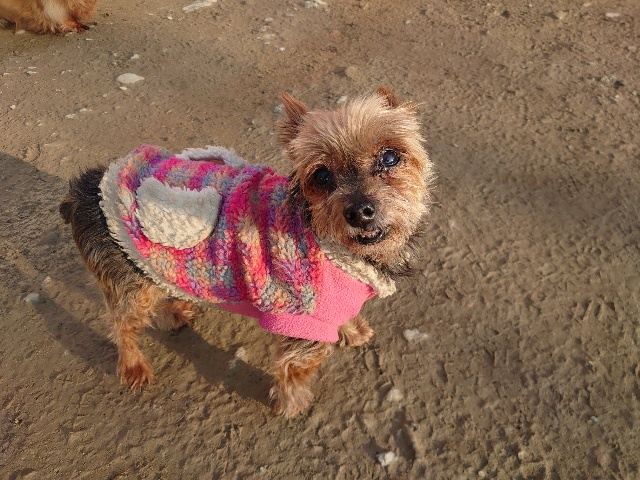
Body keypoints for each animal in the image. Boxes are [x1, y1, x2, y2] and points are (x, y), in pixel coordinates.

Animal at [59, 88, 434, 417]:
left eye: (390, 156)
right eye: (321, 176)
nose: (359, 211)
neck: (339, 247)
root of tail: (84, 188)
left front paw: (353, 329)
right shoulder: (302, 320)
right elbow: (296, 368)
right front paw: (292, 405)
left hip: (153, 262)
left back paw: (176, 312)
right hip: (129, 275)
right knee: (123, 323)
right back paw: (133, 365)